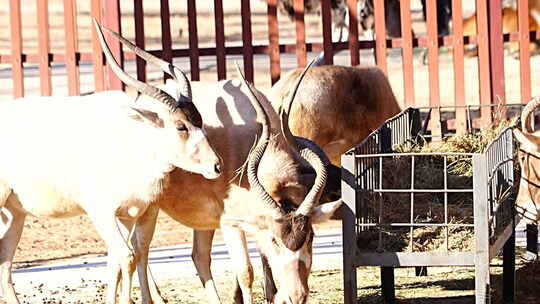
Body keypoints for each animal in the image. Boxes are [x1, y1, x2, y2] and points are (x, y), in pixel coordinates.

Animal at [0, 20, 221, 304]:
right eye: (181, 126)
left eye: (200, 121)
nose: (216, 166)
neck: (132, 139)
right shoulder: (101, 212)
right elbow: (127, 257)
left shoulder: (134, 214)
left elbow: (124, 258)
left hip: (14, 214)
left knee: (4, 258)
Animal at [102, 27, 344, 302]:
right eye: (275, 240)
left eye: (312, 237)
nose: (298, 294)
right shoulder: (230, 223)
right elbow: (246, 271)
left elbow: (263, 265)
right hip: (148, 207)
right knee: (140, 250)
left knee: (196, 256)